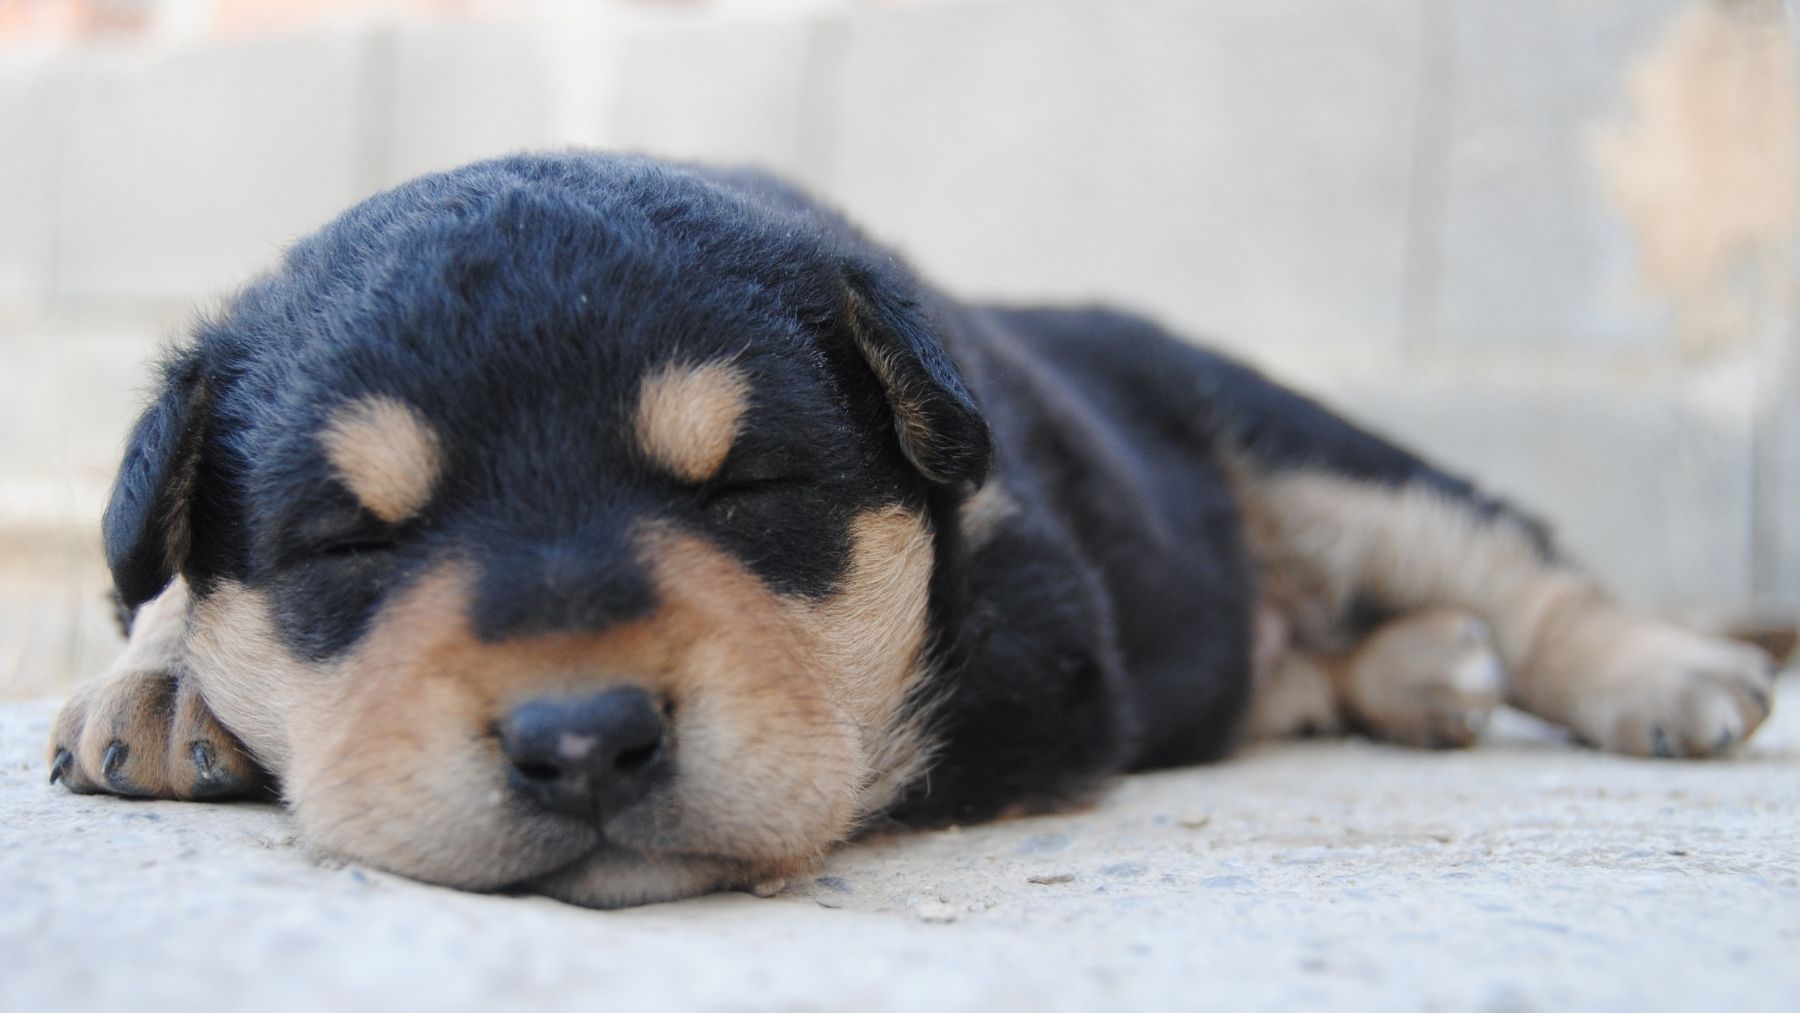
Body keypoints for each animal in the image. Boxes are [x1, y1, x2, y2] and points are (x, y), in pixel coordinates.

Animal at [42, 152, 1771, 910]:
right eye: (349, 543)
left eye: (747, 491)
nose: (584, 741)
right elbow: (155, 584)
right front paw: (159, 675)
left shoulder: (1033, 647)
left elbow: (858, 728)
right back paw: (1428, 678)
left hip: (1308, 445)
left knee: (1514, 563)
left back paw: (1668, 679)